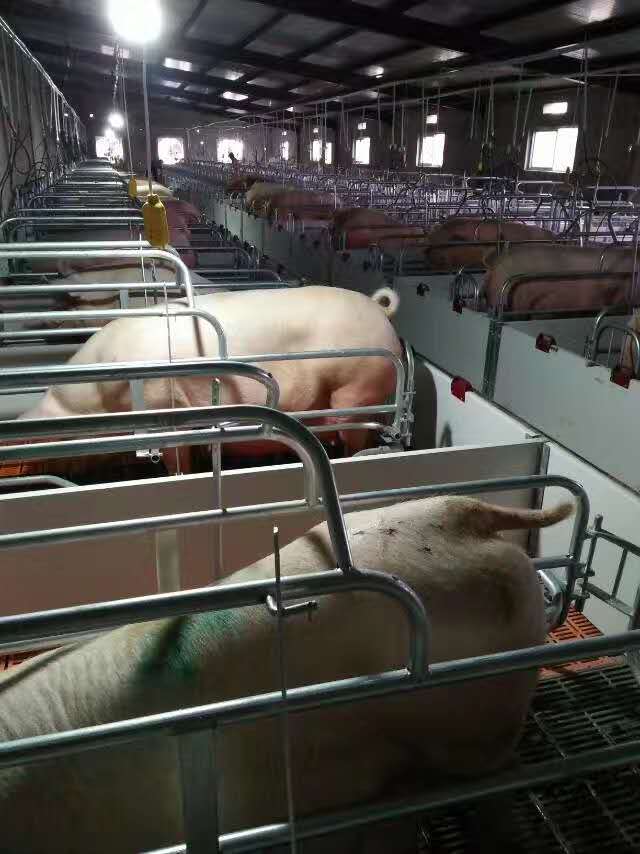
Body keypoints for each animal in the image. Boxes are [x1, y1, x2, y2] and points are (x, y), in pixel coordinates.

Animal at [18, 286, 402, 471]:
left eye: (56, 401)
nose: (23, 421)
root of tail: (379, 310)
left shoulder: (165, 405)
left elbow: (176, 461)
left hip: (354, 385)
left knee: (350, 429)